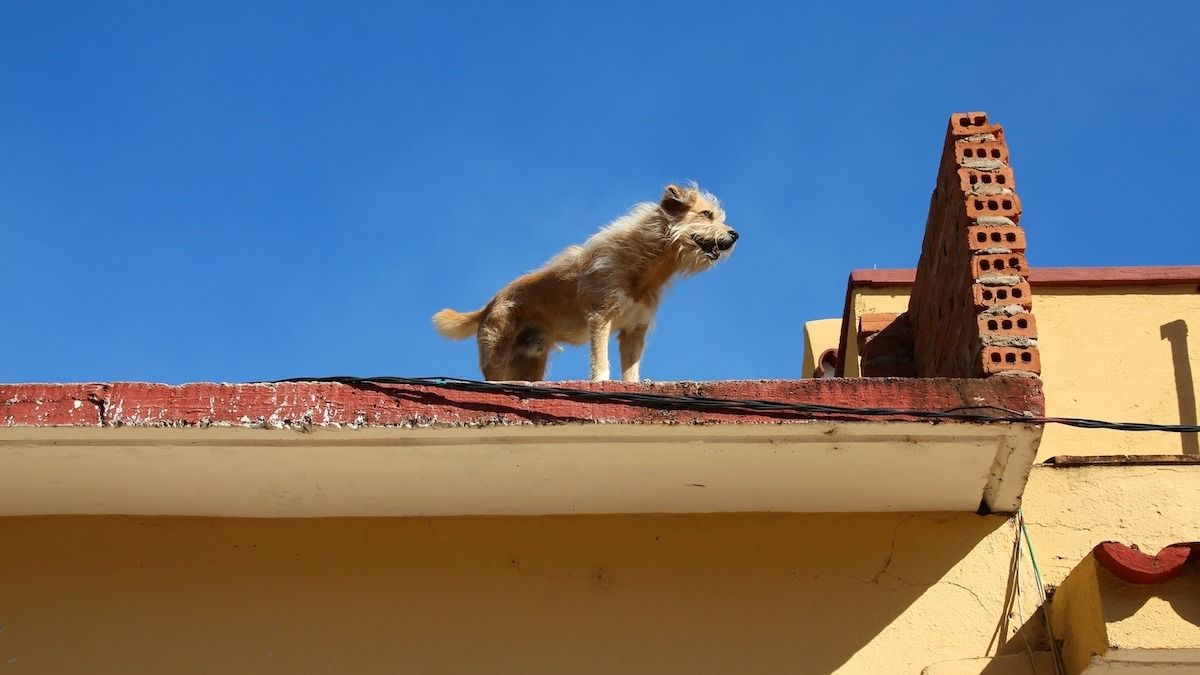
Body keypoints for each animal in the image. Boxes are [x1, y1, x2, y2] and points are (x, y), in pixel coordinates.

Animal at [429, 183, 729, 381]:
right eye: (706, 215)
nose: (735, 235)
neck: (644, 269)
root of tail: (489, 304)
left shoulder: (635, 330)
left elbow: (631, 370)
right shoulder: (601, 317)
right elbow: (601, 358)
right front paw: (600, 381)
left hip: (530, 363)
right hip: (497, 356)